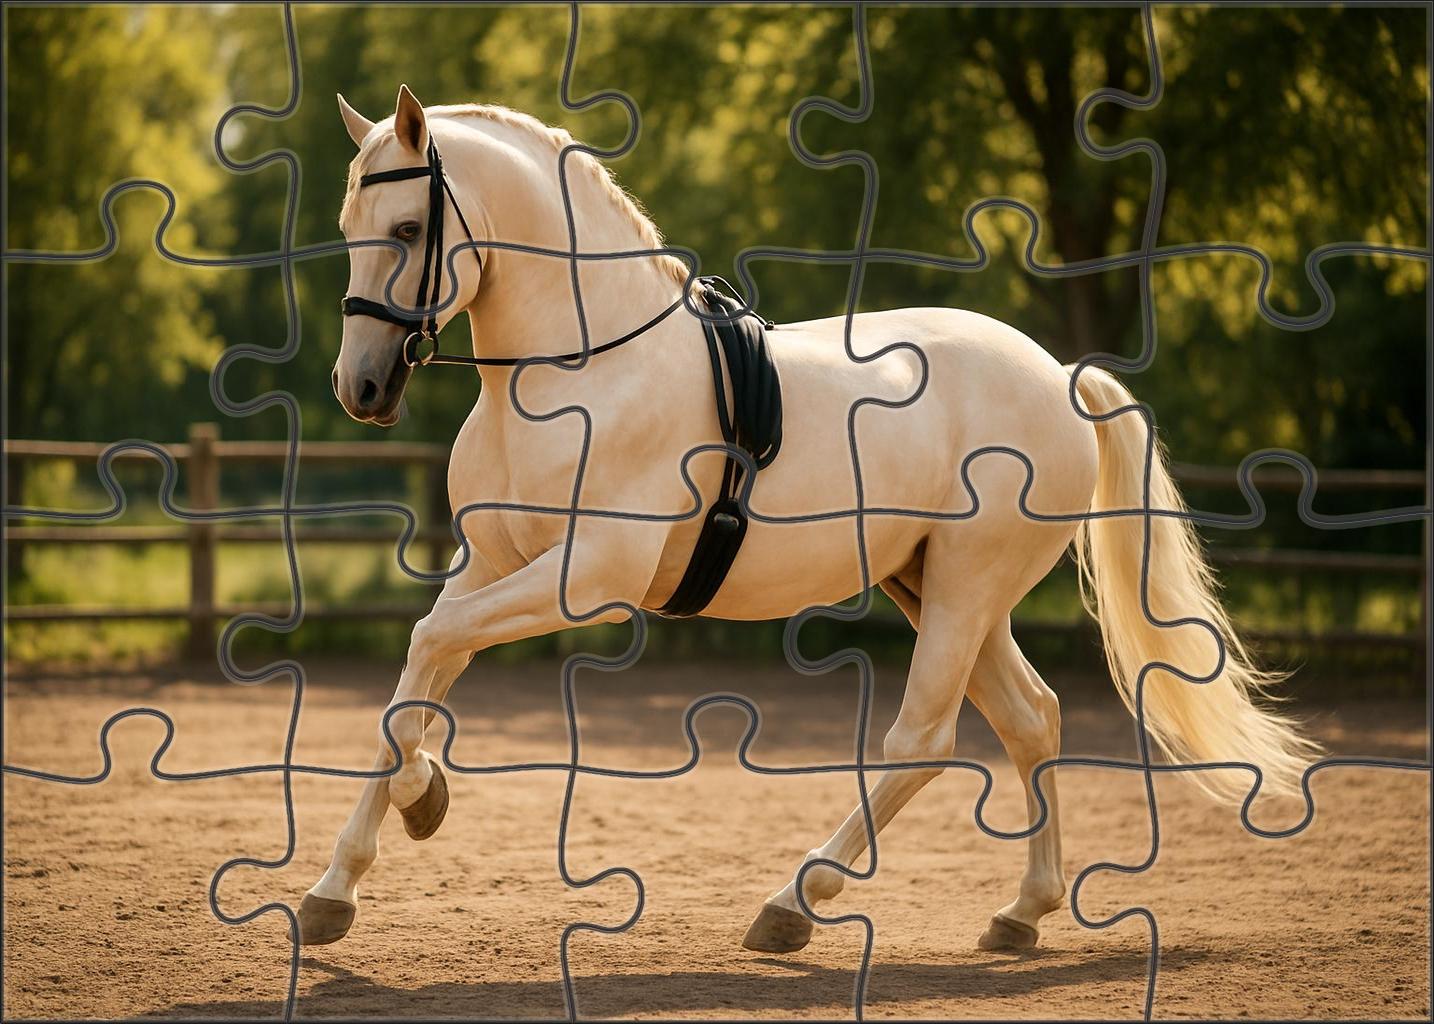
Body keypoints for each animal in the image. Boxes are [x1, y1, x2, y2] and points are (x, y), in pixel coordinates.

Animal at [300, 84, 1317, 953]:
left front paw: (408, 811)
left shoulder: (586, 579)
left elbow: (430, 645)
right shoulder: (490, 562)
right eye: (350, 227)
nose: (359, 388)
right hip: (940, 590)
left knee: (923, 742)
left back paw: (794, 902)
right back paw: (1020, 914)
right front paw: (349, 874)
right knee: (1033, 720)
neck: (581, 371)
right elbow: (418, 678)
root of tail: (1060, 377)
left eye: (408, 226)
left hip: (965, 589)